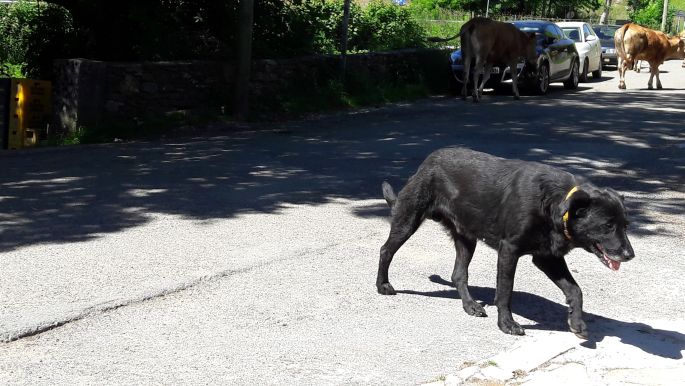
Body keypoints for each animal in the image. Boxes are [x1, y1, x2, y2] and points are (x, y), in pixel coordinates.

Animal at [376, 148, 632, 338]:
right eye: (607, 226)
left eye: (626, 225)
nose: (630, 255)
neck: (554, 202)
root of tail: (428, 161)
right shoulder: (509, 250)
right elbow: (505, 291)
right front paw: (506, 324)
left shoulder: (547, 258)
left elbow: (575, 290)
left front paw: (577, 322)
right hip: (408, 219)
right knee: (386, 250)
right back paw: (383, 285)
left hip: (466, 237)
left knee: (458, 274)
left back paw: (470, 305)